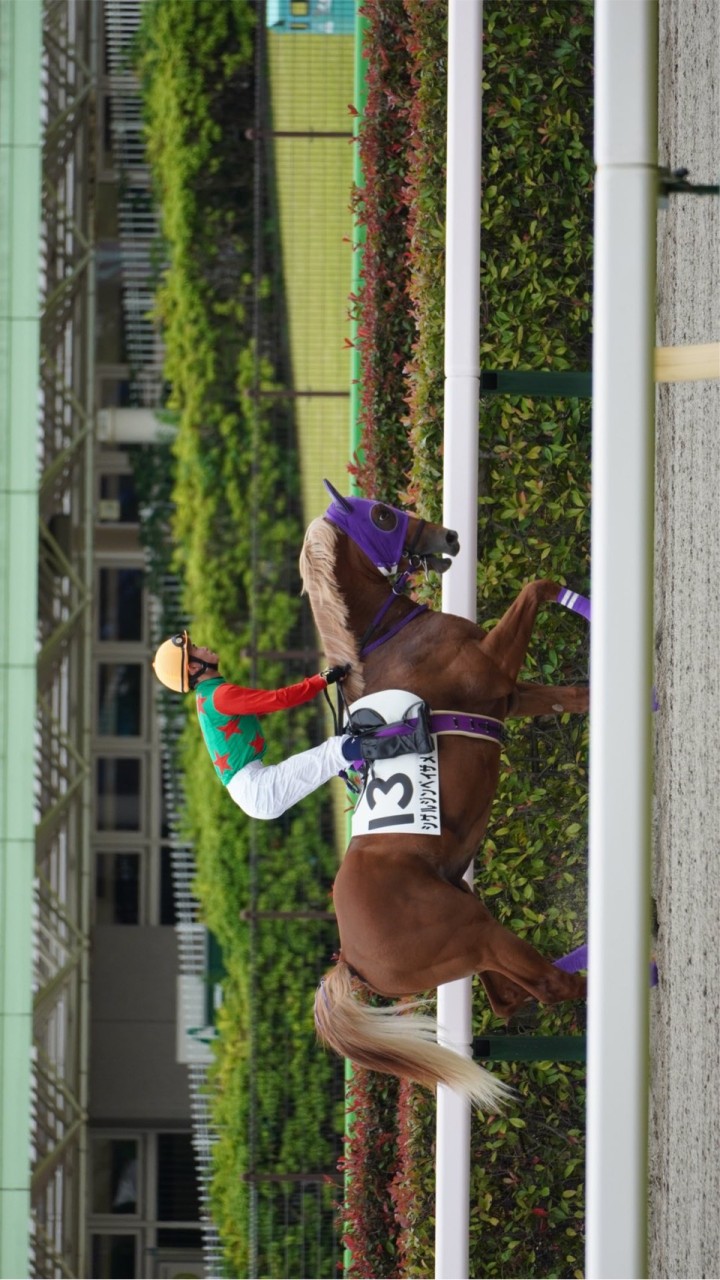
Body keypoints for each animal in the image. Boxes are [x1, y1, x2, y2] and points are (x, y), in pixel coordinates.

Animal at [299, 481, 586, 1111]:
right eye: (383, 515)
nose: (449, 536)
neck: (390, 639)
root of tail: (350, 959)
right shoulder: (495, 669)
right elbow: (538, 587)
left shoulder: (511, 694)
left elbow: (574, 695)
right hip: (472, 929)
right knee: (550, 986)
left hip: (470, 922)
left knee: (512, 997)